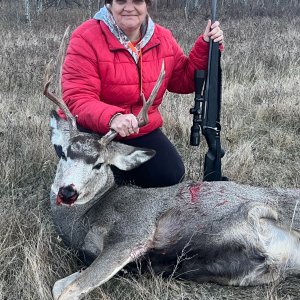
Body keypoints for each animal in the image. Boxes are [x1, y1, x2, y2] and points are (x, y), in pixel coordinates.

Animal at [44, 50, 300, 300]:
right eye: (64, 153)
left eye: (98, 164)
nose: (67, 192)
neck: (86, 218)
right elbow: (58, 286)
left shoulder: (133, 231)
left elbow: (69, 290)